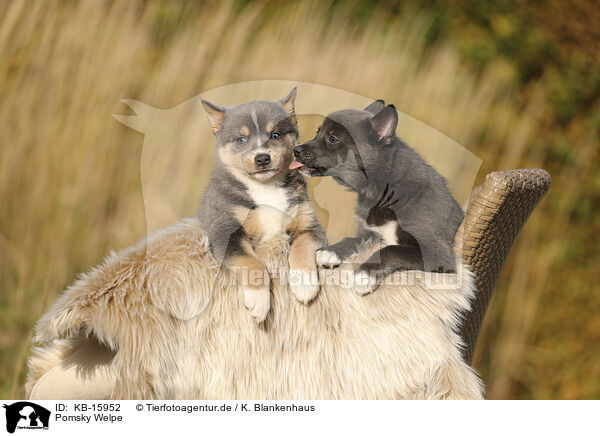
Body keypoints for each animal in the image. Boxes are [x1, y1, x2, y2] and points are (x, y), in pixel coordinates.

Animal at [199, 88, 326, 322]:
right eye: (241, 139)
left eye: (275, 135)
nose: (262, 158)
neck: (266, 187)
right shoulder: (225, 232)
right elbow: (252, 262)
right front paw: (259, 302)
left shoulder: (310, 225)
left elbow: (301, 246)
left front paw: (304, 284)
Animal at [290, 100, 464, 294]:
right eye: (317, 133)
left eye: (333, 138)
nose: (295, 150)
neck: (385, 188)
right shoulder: (371, 234)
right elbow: (352, 239)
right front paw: (330, 251)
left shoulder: (436, 253)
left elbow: (391, 250)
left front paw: (364, 275)